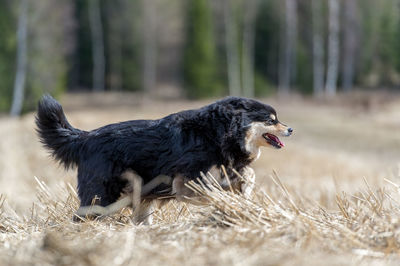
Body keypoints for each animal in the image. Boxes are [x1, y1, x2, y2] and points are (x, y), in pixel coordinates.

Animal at [36, 94, 292, 219]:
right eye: (271, 120)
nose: (290, 129)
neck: (219, 130)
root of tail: (86, 137)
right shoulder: (187, 181)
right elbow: (214, 192)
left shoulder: (228, 165)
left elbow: (246, 175)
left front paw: (245, 195)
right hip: (101, 193)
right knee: (84, 215)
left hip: (139, 196)